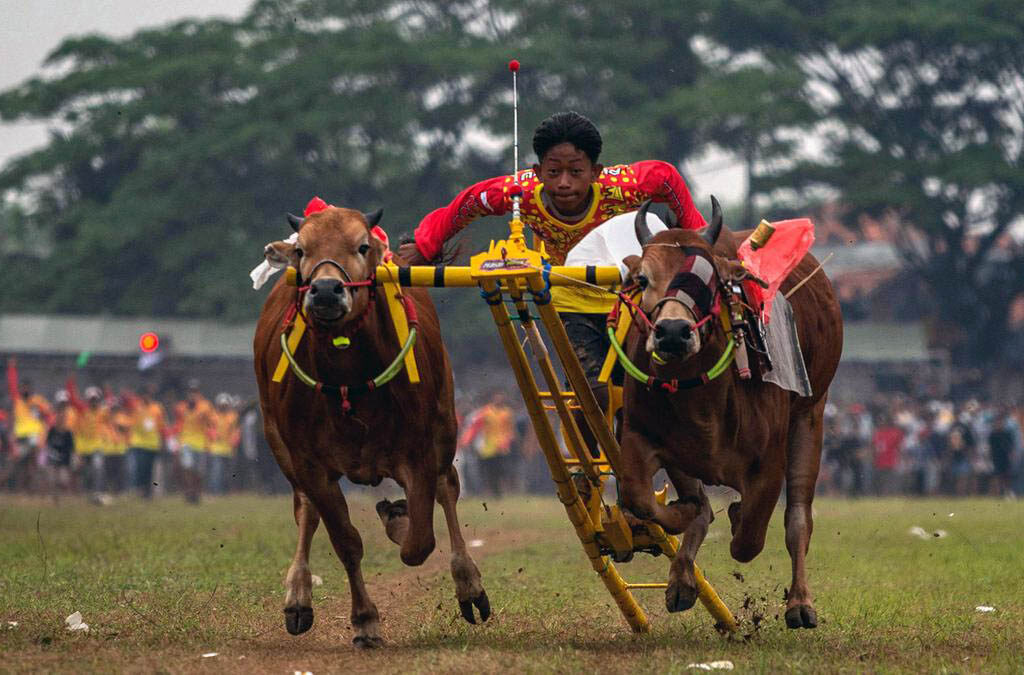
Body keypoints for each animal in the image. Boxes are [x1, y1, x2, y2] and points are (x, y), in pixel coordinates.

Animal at [249, 203, 485, 647]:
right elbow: (346, 541)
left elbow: (419, 541)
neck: (349, 381)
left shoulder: (420, 452)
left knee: (447, 489)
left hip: (446, 426)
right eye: (302, 249)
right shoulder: (308, 463)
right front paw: (364, 621)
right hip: (278, 445)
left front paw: (398, 518)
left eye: (362, 245)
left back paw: (469, 585)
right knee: (305, 510)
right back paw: (298, 596)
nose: (326, 291)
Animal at [614, 197, 839, 630]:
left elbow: (749, 537)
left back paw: (800, 603)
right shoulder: (637, 437)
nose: (672, 332)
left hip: (811, 416)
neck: (703, 400)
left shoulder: (769, 463)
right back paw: (682, 580)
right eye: (644, 279)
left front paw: (736, 517)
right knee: (699, 507)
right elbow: (644, 501)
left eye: (710, 280)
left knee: (798, 520)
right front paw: (683, 514)